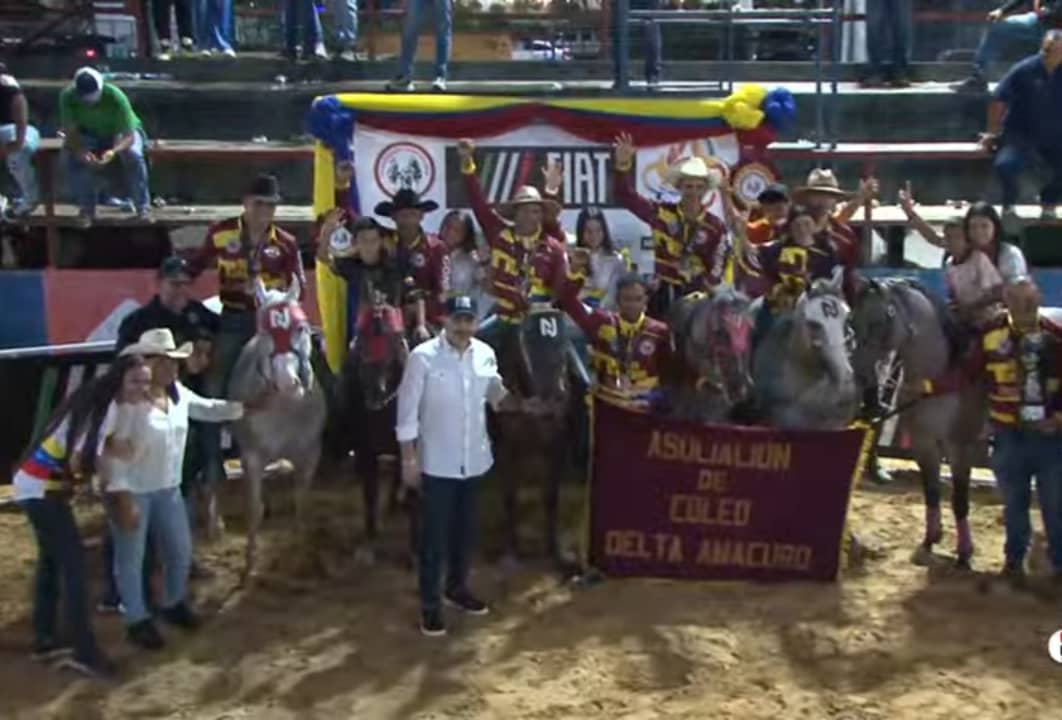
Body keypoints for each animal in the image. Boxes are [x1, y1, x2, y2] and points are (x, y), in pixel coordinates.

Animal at [228, 277, 328, 581]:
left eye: (301, 327)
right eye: (264, 332)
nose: (287, 383)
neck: (284, 409)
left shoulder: (309, 454)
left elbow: (301, 503)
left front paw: (303, 555)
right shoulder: (251, 457)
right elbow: (253, 508)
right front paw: (250, 563)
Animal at [850, 278, 984, 567]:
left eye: (877, 322)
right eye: (852, 321)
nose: (858, 374)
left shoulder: (960, 446)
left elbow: (959, 499)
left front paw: (964, 552)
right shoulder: (924, 444)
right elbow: (931, 491)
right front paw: (931, 538)